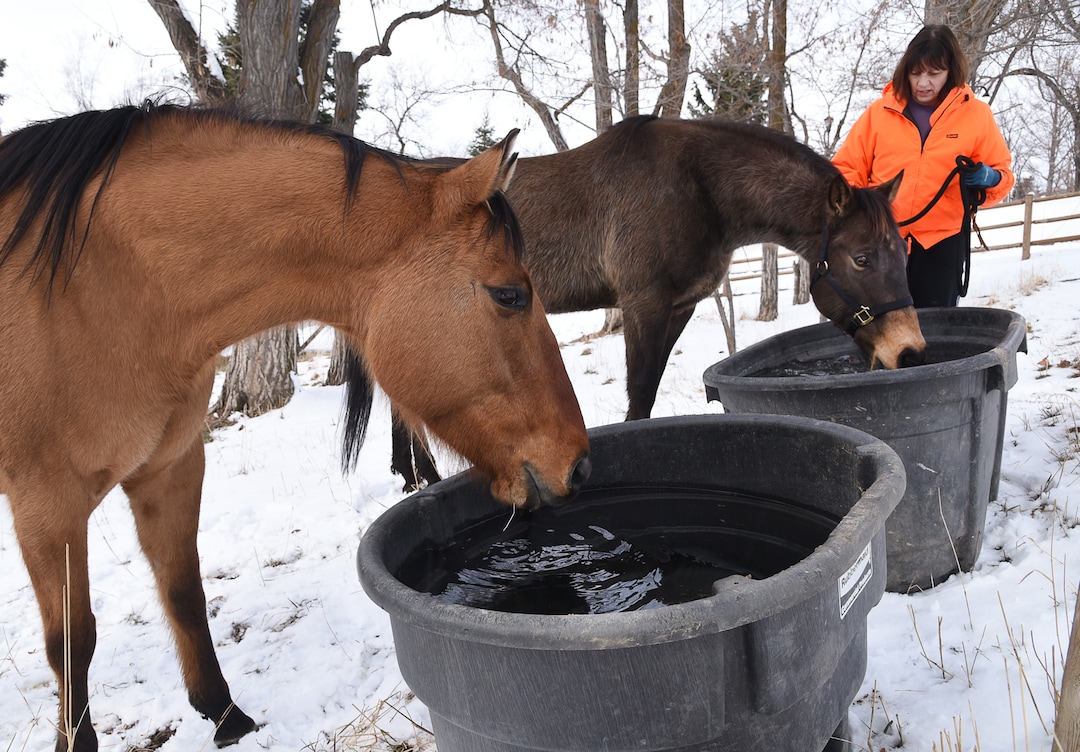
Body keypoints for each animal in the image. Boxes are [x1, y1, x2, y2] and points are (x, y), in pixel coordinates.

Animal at [0, 102, 590, 752]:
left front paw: (225, 717)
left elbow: (184, 592)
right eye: (509, 295)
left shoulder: (169, 467)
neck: (93, 293)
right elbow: (72, 640)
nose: (578, 464)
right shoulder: (47, 504)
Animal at [390, 114, 927, 490]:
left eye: (904, 252)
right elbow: (641, 391)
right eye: (861, 258)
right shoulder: (643, 303)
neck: (698, 189)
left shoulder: (680, 306)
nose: (909, 352)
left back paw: (420, 478)